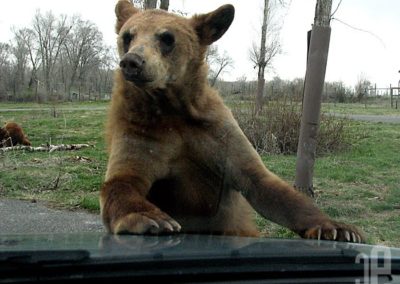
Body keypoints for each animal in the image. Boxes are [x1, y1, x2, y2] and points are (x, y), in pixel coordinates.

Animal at [99, 1, 362, 243]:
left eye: (166, 38)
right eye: (128, 36)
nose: (133, 61)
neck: (171, 107)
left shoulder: (215, 133)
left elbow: (263, 182)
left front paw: (338, 228)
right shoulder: (143, 132)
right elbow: (122, 182)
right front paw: (151, 218)